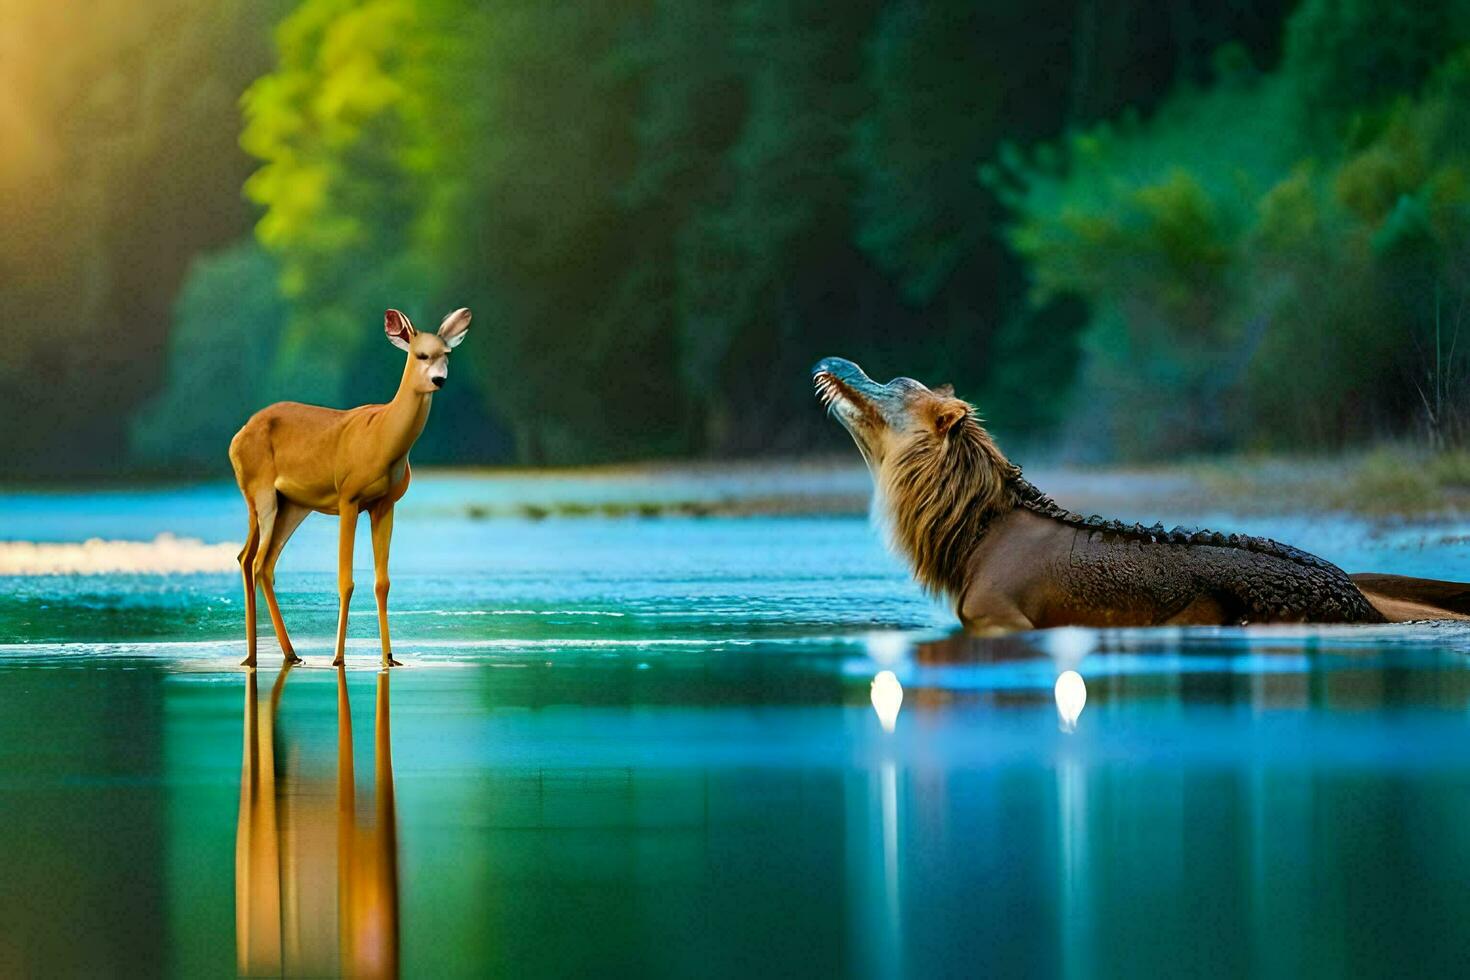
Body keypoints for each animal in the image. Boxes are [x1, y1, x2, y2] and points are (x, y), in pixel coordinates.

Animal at [229, 310, 470, 669]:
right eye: (420, 355)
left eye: (447, 354)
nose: (439, 380)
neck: (383, 438)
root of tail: (237, 437)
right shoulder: (348, 497)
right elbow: (345, 579)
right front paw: (338, 657)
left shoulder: (385, 504)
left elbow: (382, 582)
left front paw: (390, 657)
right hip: (262, 493)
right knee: (256, 560)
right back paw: (257, 656)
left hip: (292, 504)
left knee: (256, 560)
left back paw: (285, 654)